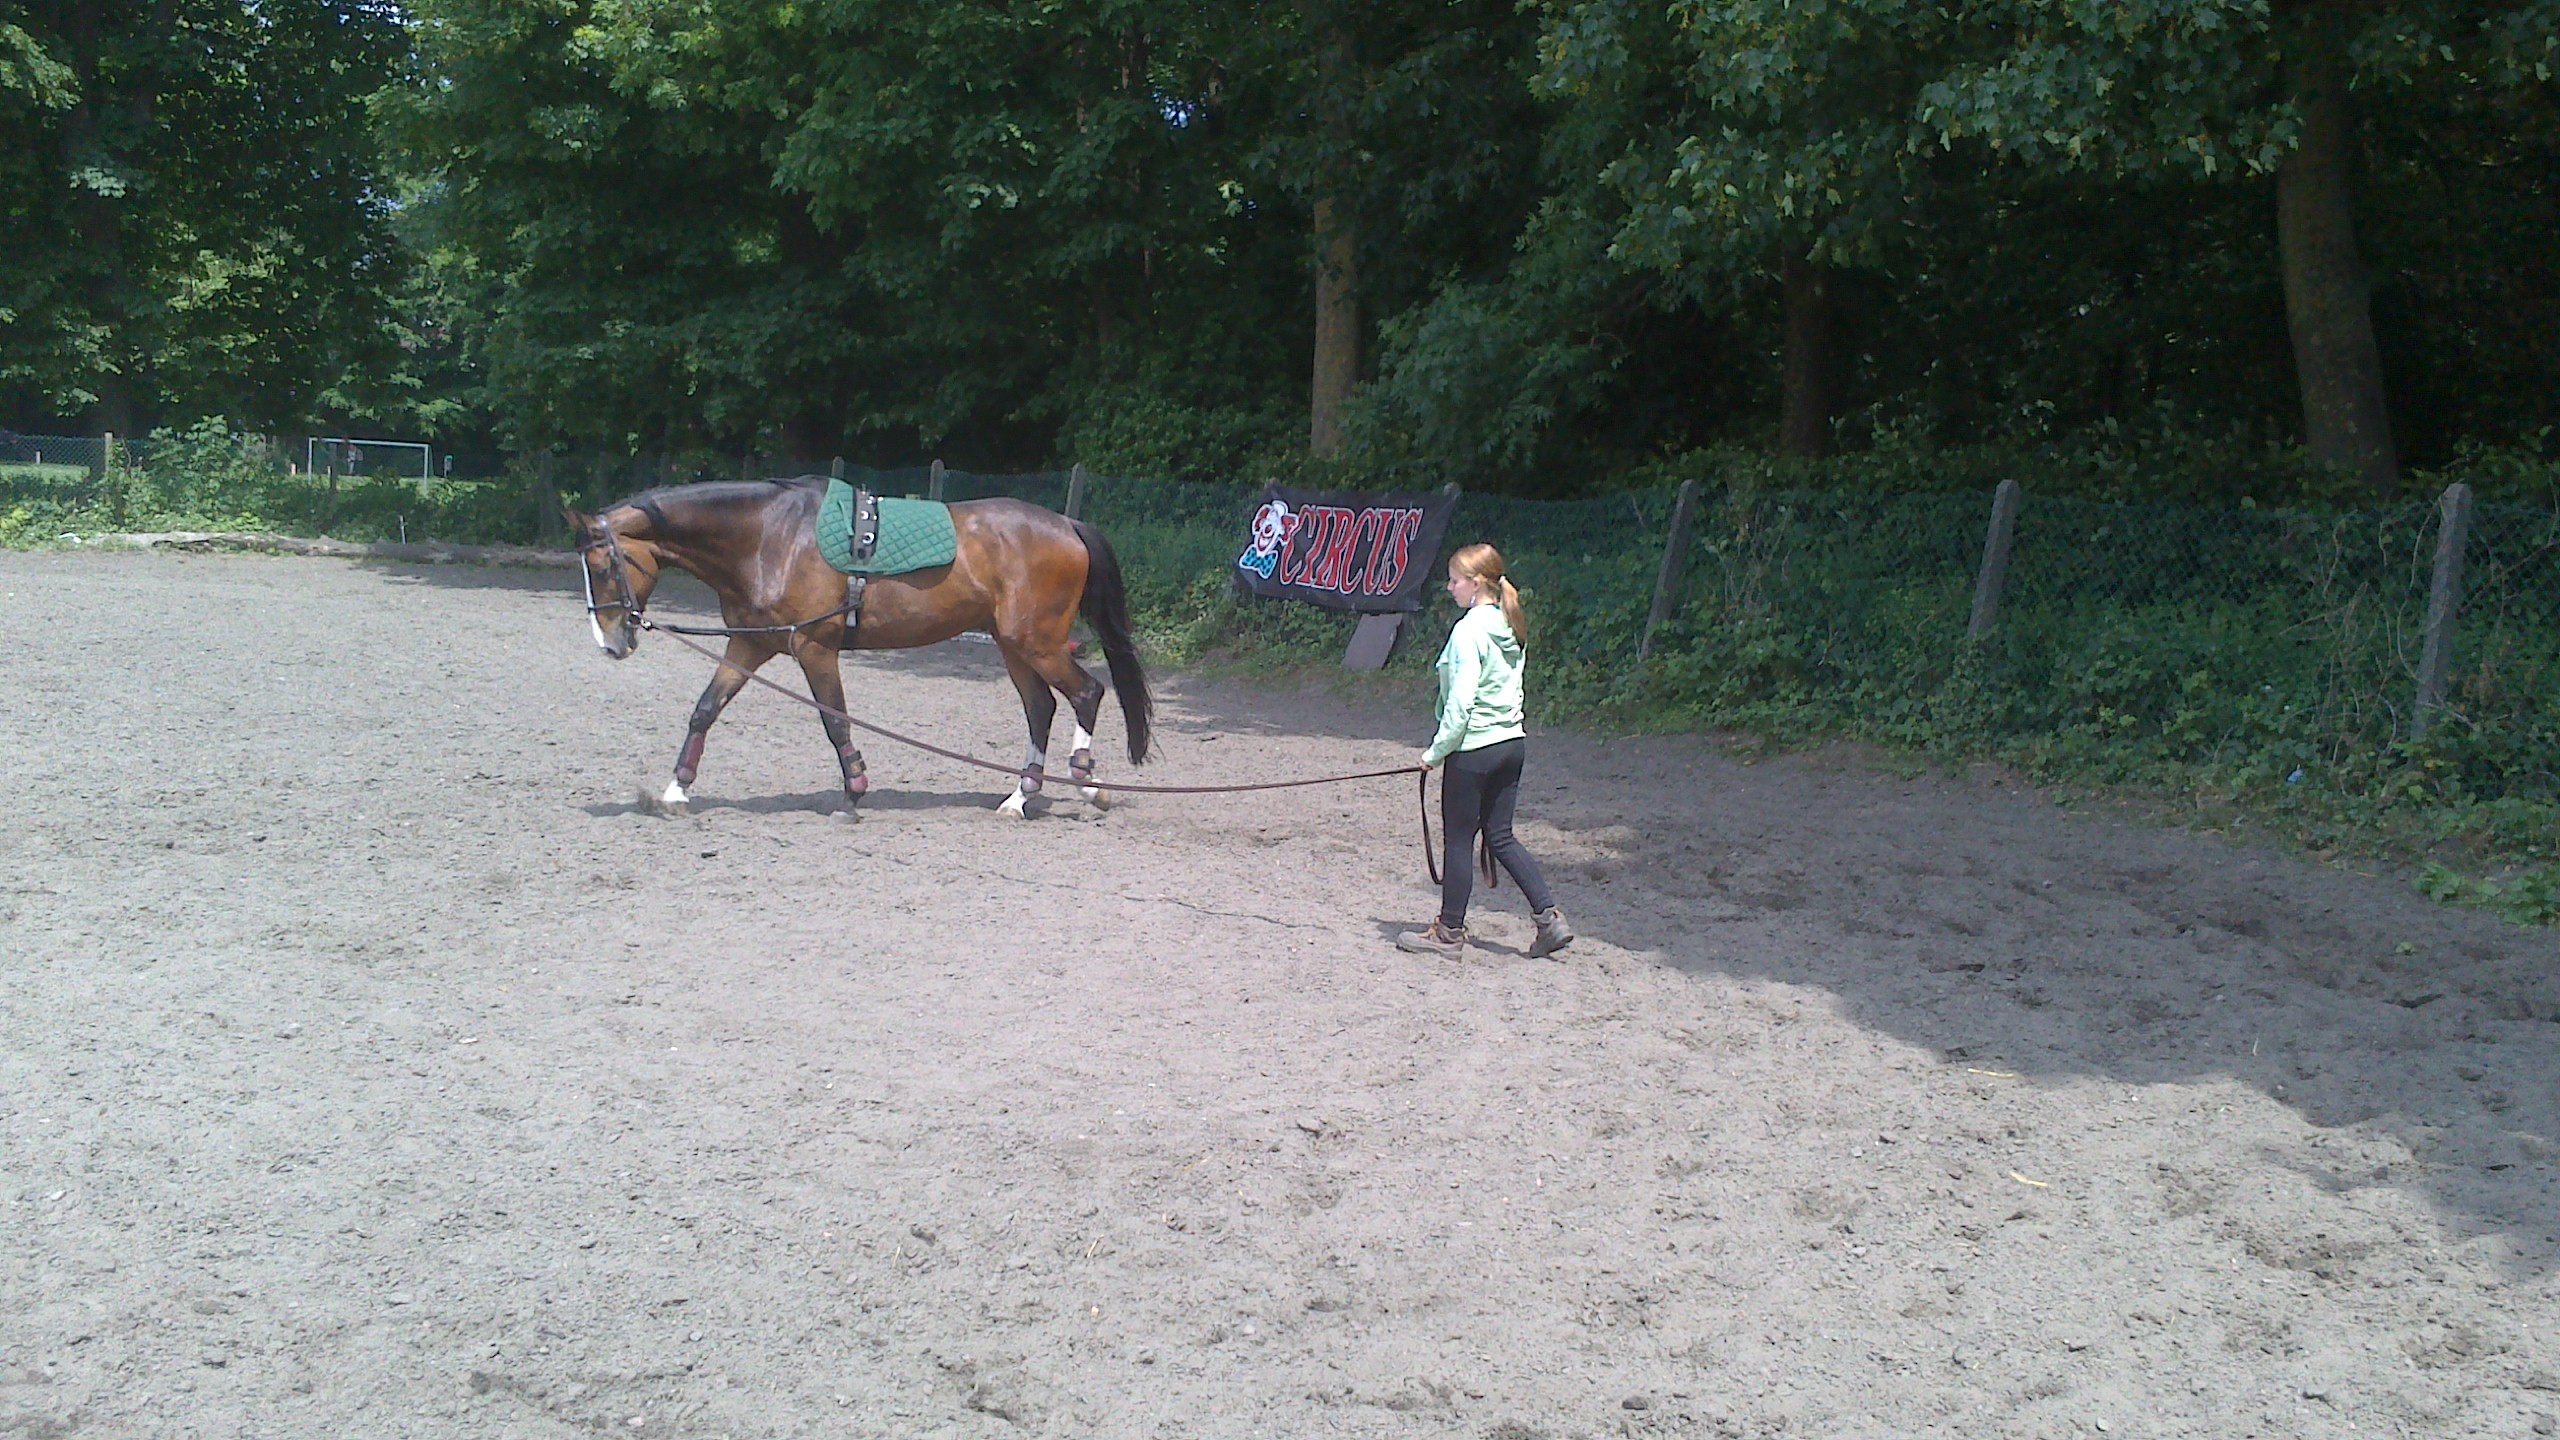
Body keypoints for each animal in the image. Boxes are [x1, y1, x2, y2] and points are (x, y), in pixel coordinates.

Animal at [576, 476, 1157, 814]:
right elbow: (705, 709)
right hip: (1013, 645)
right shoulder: (749, 647)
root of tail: (1067, 524)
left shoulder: (815, 648)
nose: (610, 643)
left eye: (603, 568)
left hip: (1037, 642)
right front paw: (676, 790)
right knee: (1041, 708)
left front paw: (853, 789)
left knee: (1086, 694)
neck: (770, 537)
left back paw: (1087, 783)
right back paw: (1020, 796)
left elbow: (835, 721)